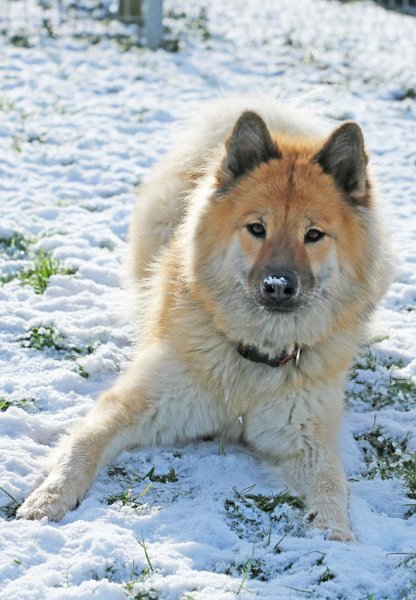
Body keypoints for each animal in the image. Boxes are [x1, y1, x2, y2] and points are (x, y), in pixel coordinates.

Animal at [17, 97, 394, 540]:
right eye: (257, 228)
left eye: (313, 235)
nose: (278, 286)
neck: (252, 360)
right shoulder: (138, 403)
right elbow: (83, 446)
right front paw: (48, 499)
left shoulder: (308, 435)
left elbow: (332, 482)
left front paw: (336, 535)